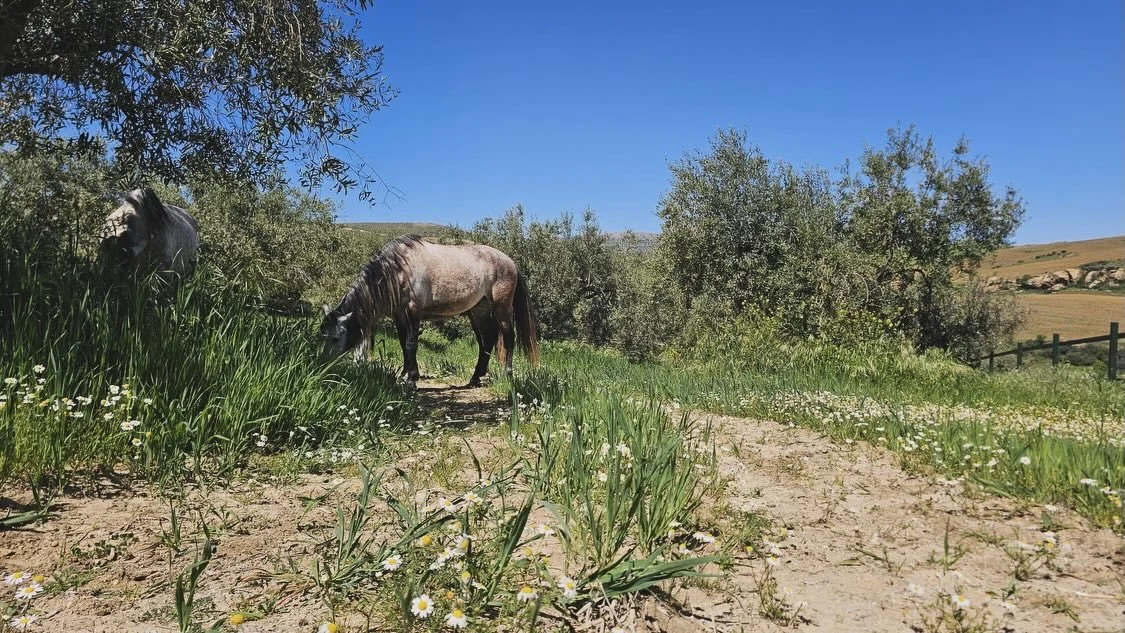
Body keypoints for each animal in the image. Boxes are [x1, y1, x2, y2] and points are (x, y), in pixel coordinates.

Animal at [320, 234, 539, 388]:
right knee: (488, 339)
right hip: (478, 311)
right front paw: (405, 374)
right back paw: (476, 377)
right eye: (323, 334)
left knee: (508, 337)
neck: (397, 270)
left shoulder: (413, 311)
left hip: (502, 308)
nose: (323, 366)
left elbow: (411, 343)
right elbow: (403, 343)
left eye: (335, 338)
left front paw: (411, 380)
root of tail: (509, 261)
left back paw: (507, 374)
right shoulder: (399, 315)